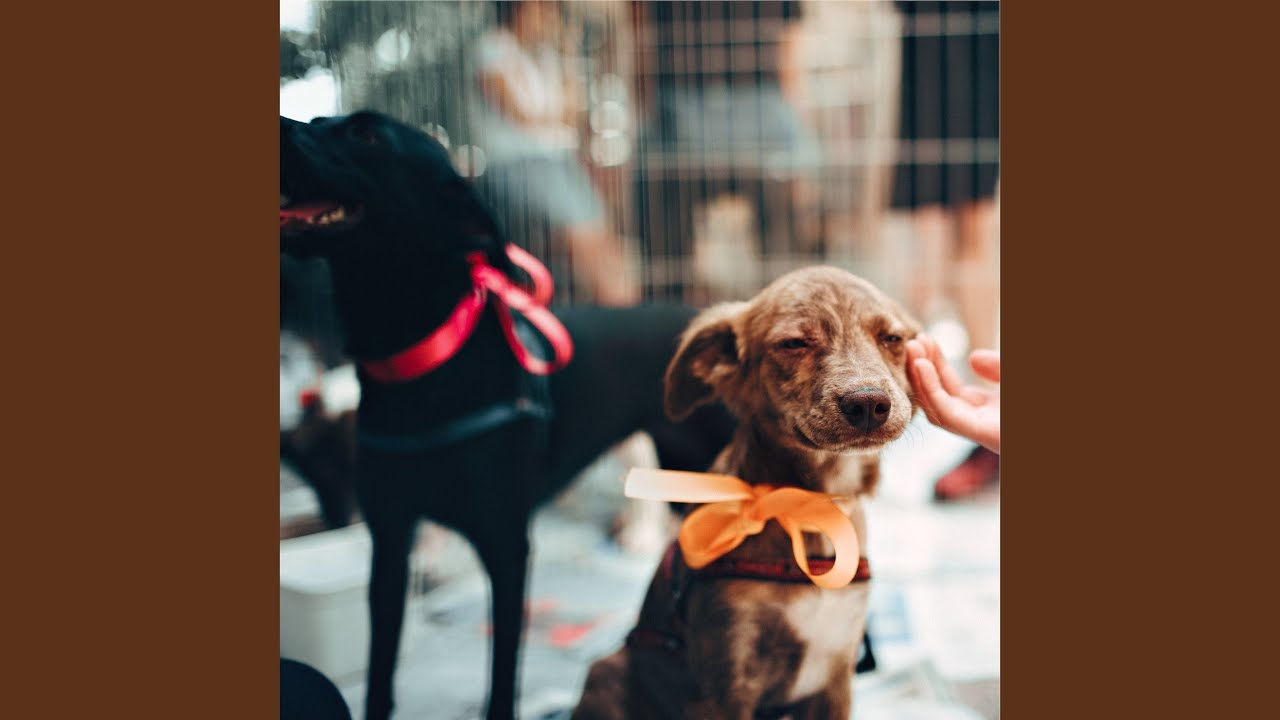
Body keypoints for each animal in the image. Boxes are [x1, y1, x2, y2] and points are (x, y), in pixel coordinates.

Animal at [280, 111, 736, 720]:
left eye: (366, 134)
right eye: (319, 120)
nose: (279, 127)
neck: (423, 365)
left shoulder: (506, 547)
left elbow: (501, 678)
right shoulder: (390, 542)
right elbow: (380, 674)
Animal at [572, 266, 921, 719]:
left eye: (892, 338)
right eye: (794, 343)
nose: (867, 405)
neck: (809, 508)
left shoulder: (835, 675)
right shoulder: (726, 681)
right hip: (608, 671)